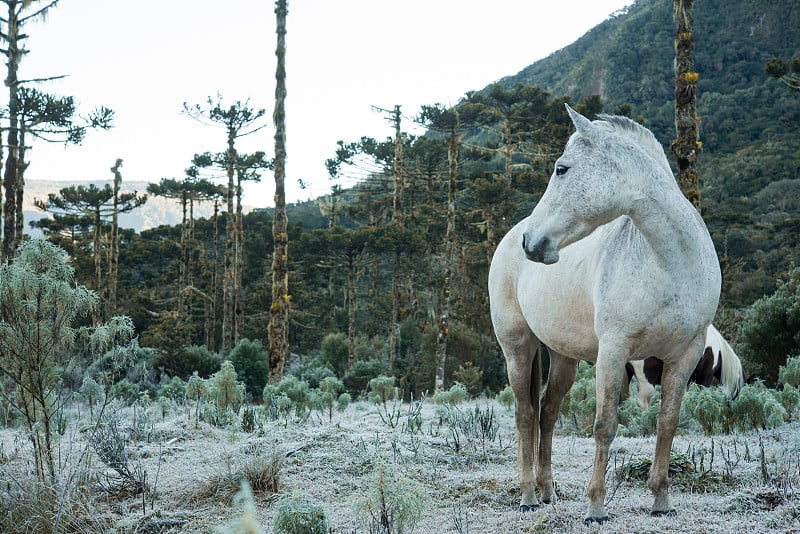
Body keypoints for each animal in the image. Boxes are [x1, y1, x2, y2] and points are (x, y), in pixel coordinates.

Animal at [490, 104, 720, 524]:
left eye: (562, 169)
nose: (532, 243)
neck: (670, 264)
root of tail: (510, 237)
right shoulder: (613, 351)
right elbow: (605, 425)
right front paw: (595, 506)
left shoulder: (686, 354)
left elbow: (667, 423)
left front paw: (661, 499)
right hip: (517, 348)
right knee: (525, 414)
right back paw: (528, 495)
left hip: (563, 357)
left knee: (547, 412)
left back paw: (547, 492)